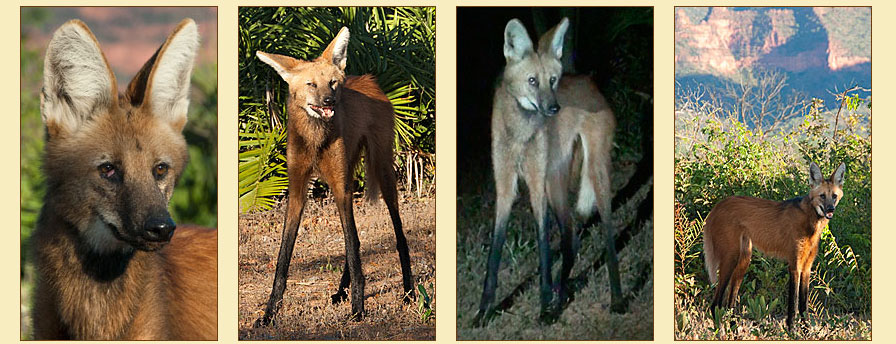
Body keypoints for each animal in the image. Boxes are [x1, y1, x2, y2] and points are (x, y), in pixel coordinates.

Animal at [256, 27, 412, 326]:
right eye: (311, 85)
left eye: (332, 84)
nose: (329, 101)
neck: (315, 139)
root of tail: (369, 79)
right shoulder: (298, 189)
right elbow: (284, 256)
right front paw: (270, 313)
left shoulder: (340, 188)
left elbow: (351, 246)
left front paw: (359, 309)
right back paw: (341, 291)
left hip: (382, 170)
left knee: (398, 235)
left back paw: (409, 292)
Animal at [476, 18, 624, 326]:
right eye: (533, 81)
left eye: (552, 80)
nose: (554, 108)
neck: (520, 134)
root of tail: (589, 81)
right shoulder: (505, 185)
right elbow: (495, 250)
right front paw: (484, 310)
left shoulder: (535, 184)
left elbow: (543, 246)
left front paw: (543, 306)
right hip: (554, 181)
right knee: (571, 239)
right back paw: (561, 295)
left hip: (593, 170)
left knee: (606, 232)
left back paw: (615, 298)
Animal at [708, 161, 848, 328]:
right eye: (822, 196)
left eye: (834, 196)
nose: (830, 209)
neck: (811, 222)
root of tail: (717, 206)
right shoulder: (794, 265)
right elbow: (793, 305)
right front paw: (791, 330)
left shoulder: (807, 267)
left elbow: (804, 307)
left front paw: (806, 330)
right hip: (731, 258)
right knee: (715, 304)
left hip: (744, 259)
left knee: (730, 303)